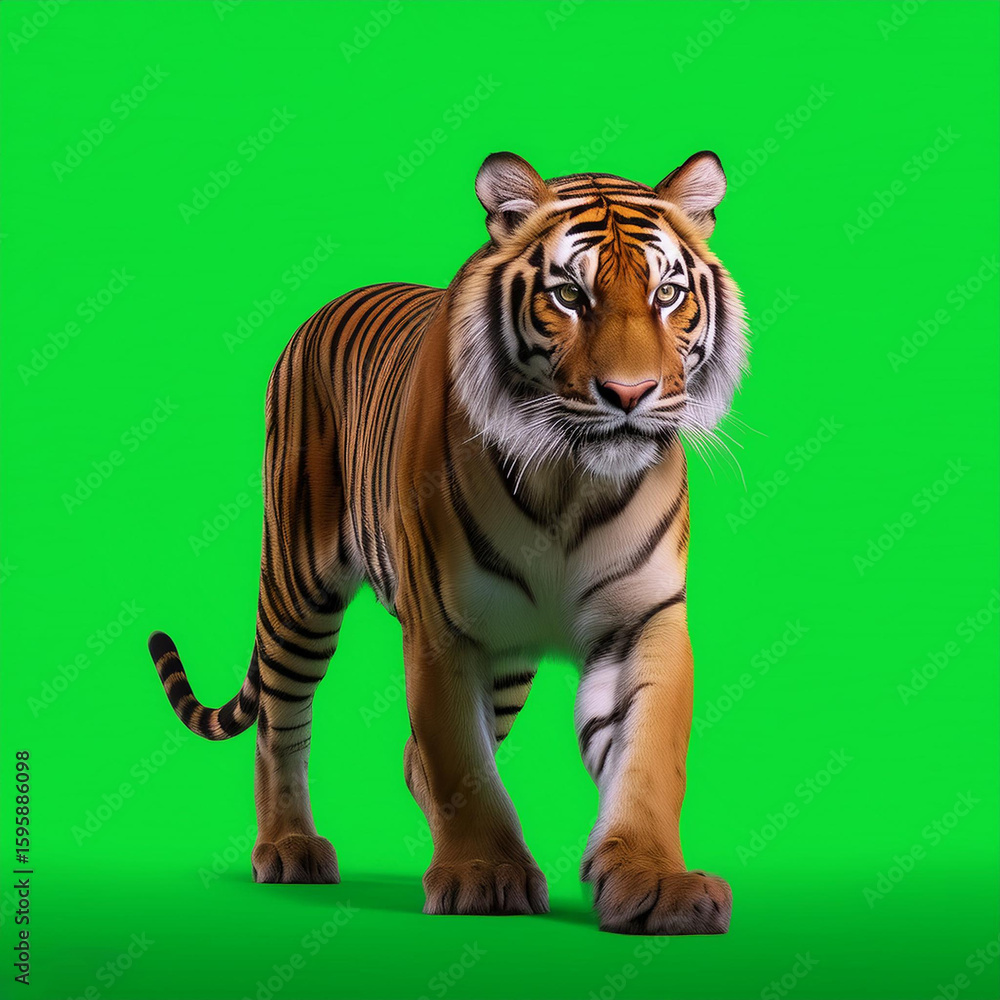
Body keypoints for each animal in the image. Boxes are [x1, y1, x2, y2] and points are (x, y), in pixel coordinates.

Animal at [149, 149, 749, 934]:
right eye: (569, 295)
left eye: (668, 293)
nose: (629, 393)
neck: (571, 480)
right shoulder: (443, 625)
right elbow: (458, 756)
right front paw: (483, 874)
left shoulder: (642, 620)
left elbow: (648, 756)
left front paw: (656, 882)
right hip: (297, 590)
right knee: (281, 723)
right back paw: (288, 849)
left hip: (507, 658)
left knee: (411, 757)